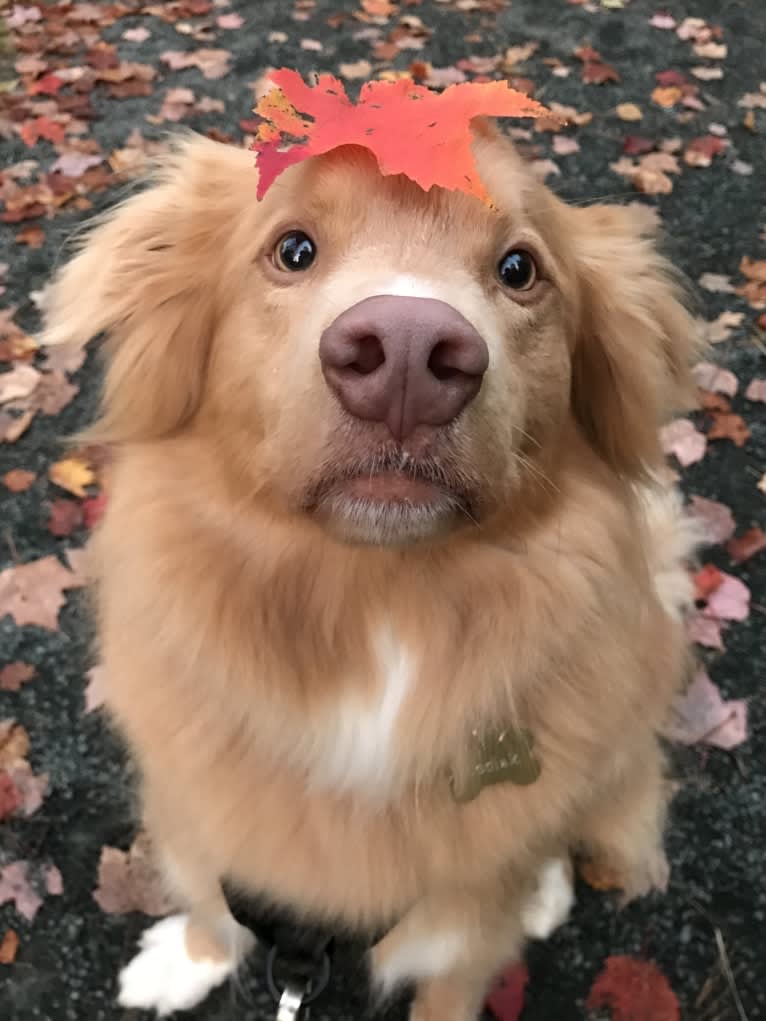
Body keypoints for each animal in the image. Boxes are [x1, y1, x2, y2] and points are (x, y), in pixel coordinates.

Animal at [43, 121, 702, 1021]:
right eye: (293, 249)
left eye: (519, 269)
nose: (408, 355)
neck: (377, 609)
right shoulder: (207, 816)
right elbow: (213, 900)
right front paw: (187, 957)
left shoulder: (462, 936)